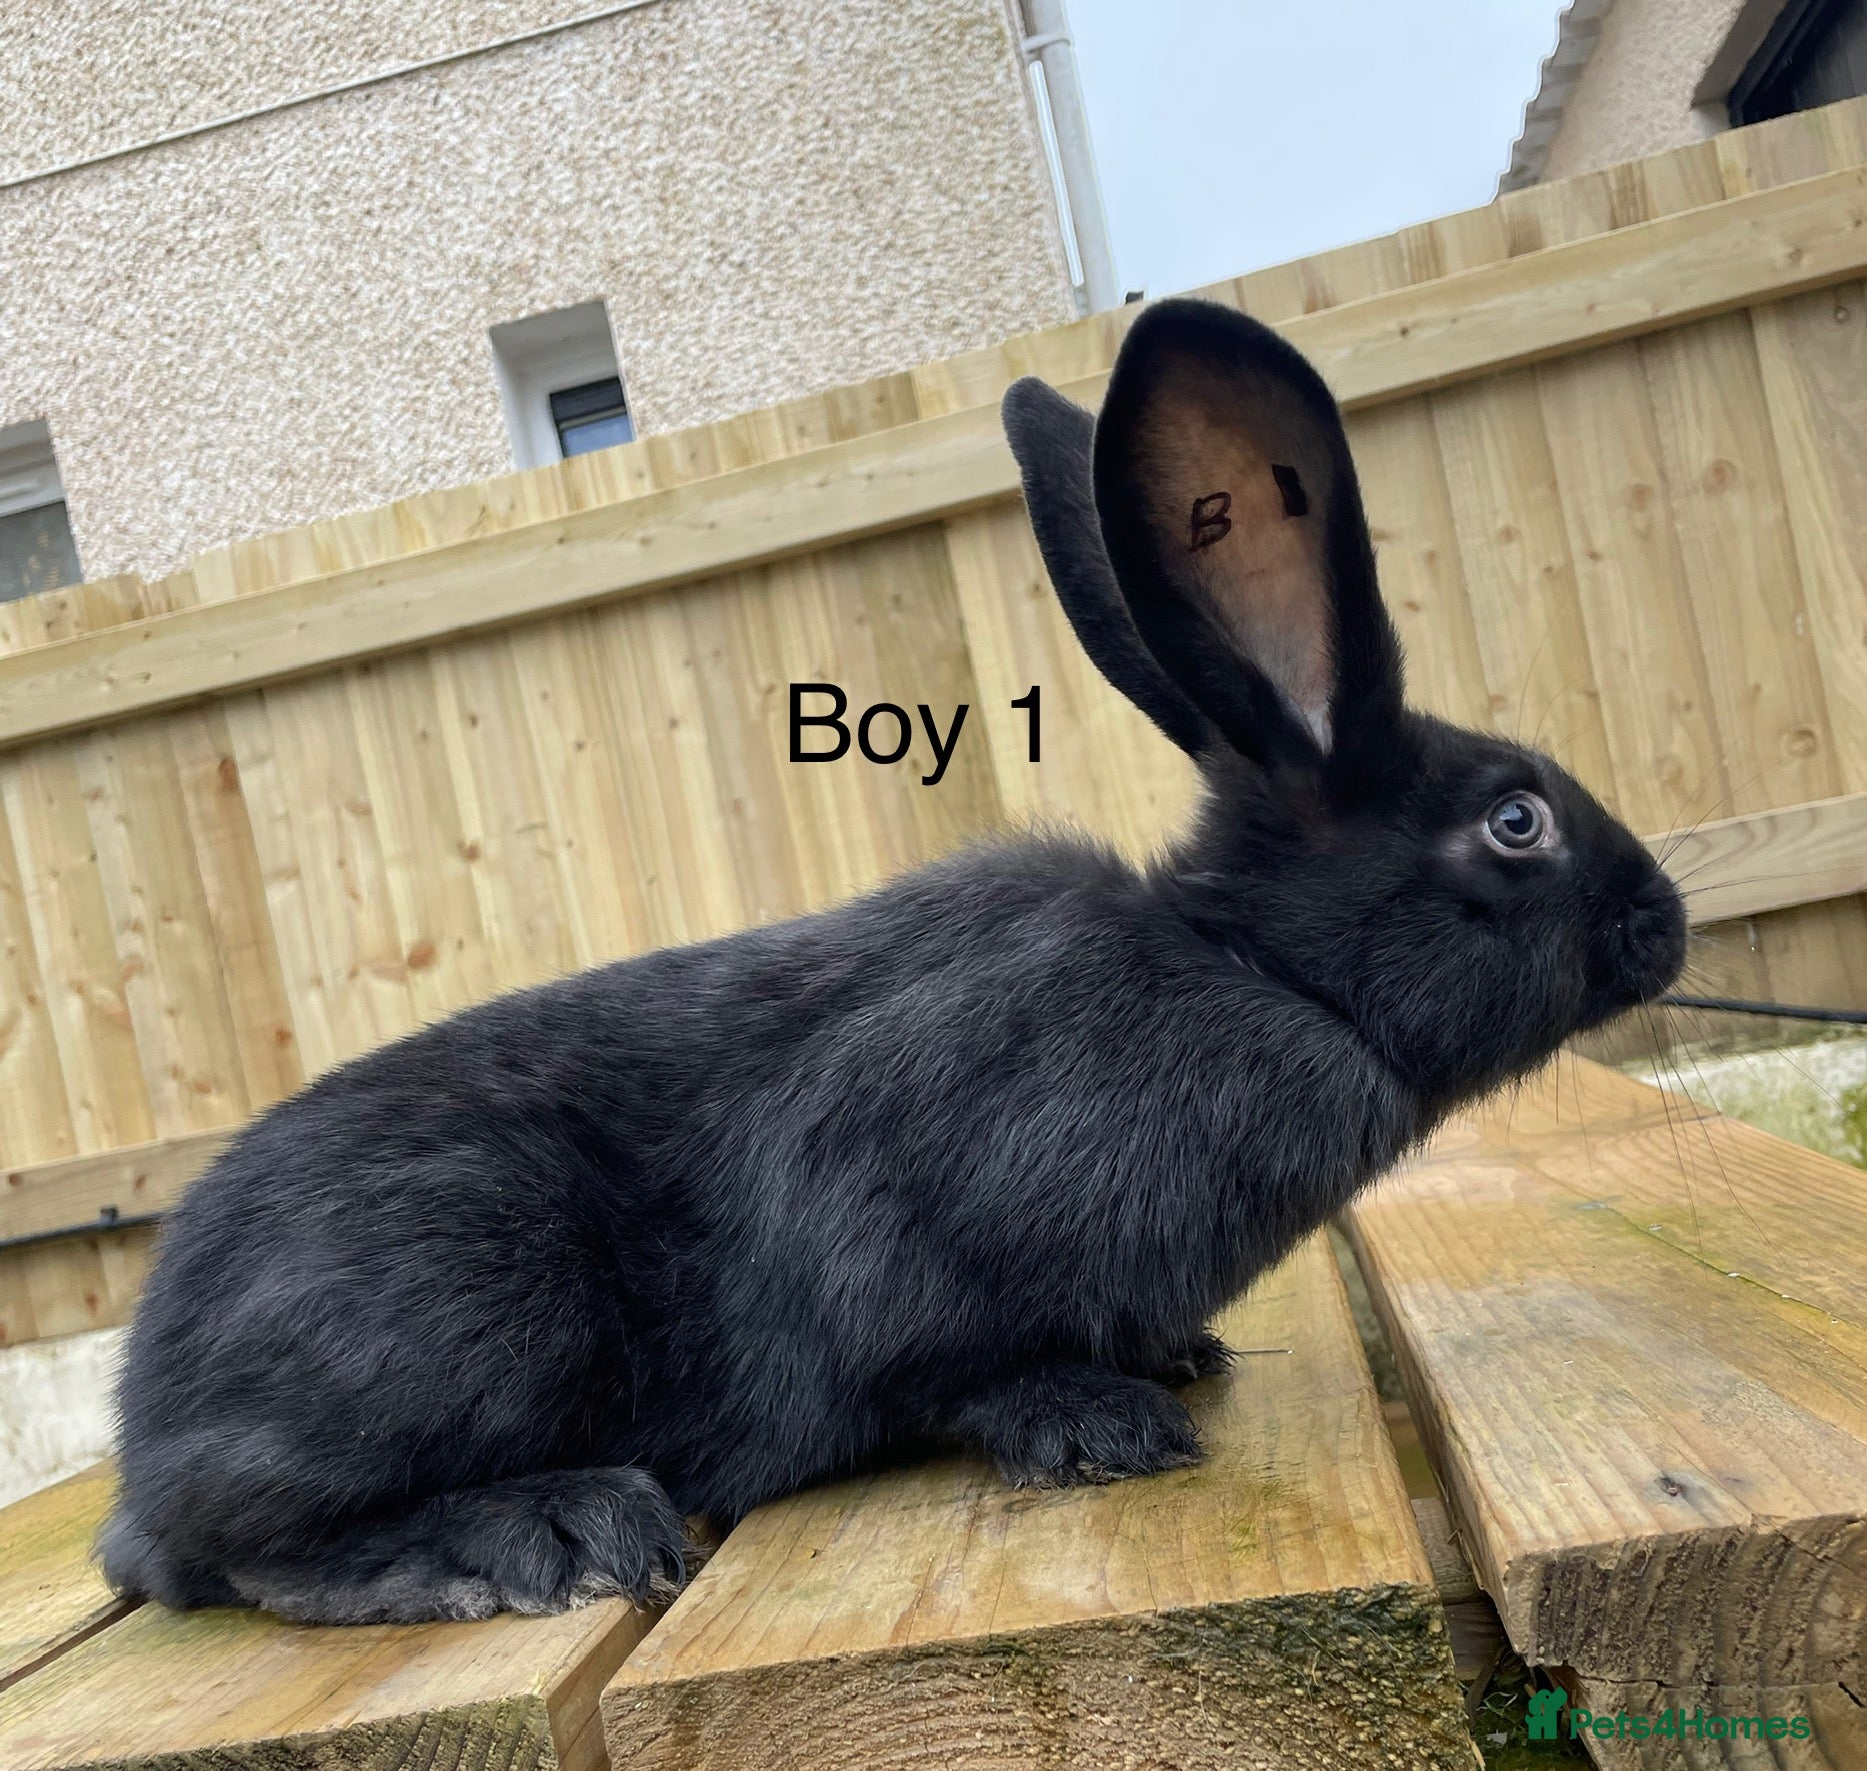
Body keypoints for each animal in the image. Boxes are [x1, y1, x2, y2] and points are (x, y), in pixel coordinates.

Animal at [99, 298, 1686, 1625]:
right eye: (1516, 819)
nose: (1662, 921)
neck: (1262, 973)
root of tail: (142, 1429)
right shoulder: (905, 1225)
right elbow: (947, 1365)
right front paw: (1101, 1419)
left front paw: (1171, 1353)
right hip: (468, 1307)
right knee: (241, 1545)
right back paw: (543, 1534)